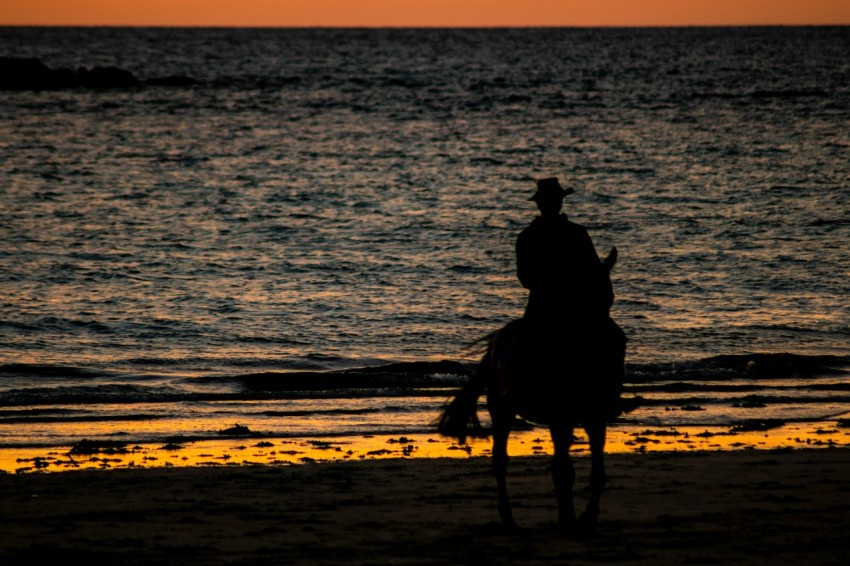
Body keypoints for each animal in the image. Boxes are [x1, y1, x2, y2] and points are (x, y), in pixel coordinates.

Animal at [438, 250, 624, 536]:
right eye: (582, 296)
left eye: (610, 296)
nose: (606, 336)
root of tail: (497, 340)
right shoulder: (560, 418)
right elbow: (564, 471)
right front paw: (569, 521)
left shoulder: (596, 417)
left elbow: (596, 474)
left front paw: (586, 519)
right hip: (502, 409)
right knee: (500, 460)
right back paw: (508, 518)